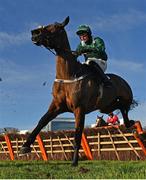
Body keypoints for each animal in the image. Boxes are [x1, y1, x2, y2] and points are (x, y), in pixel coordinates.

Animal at [20, 16, 135, 166]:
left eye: (56, 27)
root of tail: (124, 81)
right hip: (105, 106)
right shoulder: (57, 106)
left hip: (123, 99)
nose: (34, 33)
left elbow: (78, 132)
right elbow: (42, 121)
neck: (68, 75)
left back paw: (130, 122)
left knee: (124, 107)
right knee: (120, 108)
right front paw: (25, 146)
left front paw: (74, 161)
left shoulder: (79, 108)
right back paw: (129, 123)